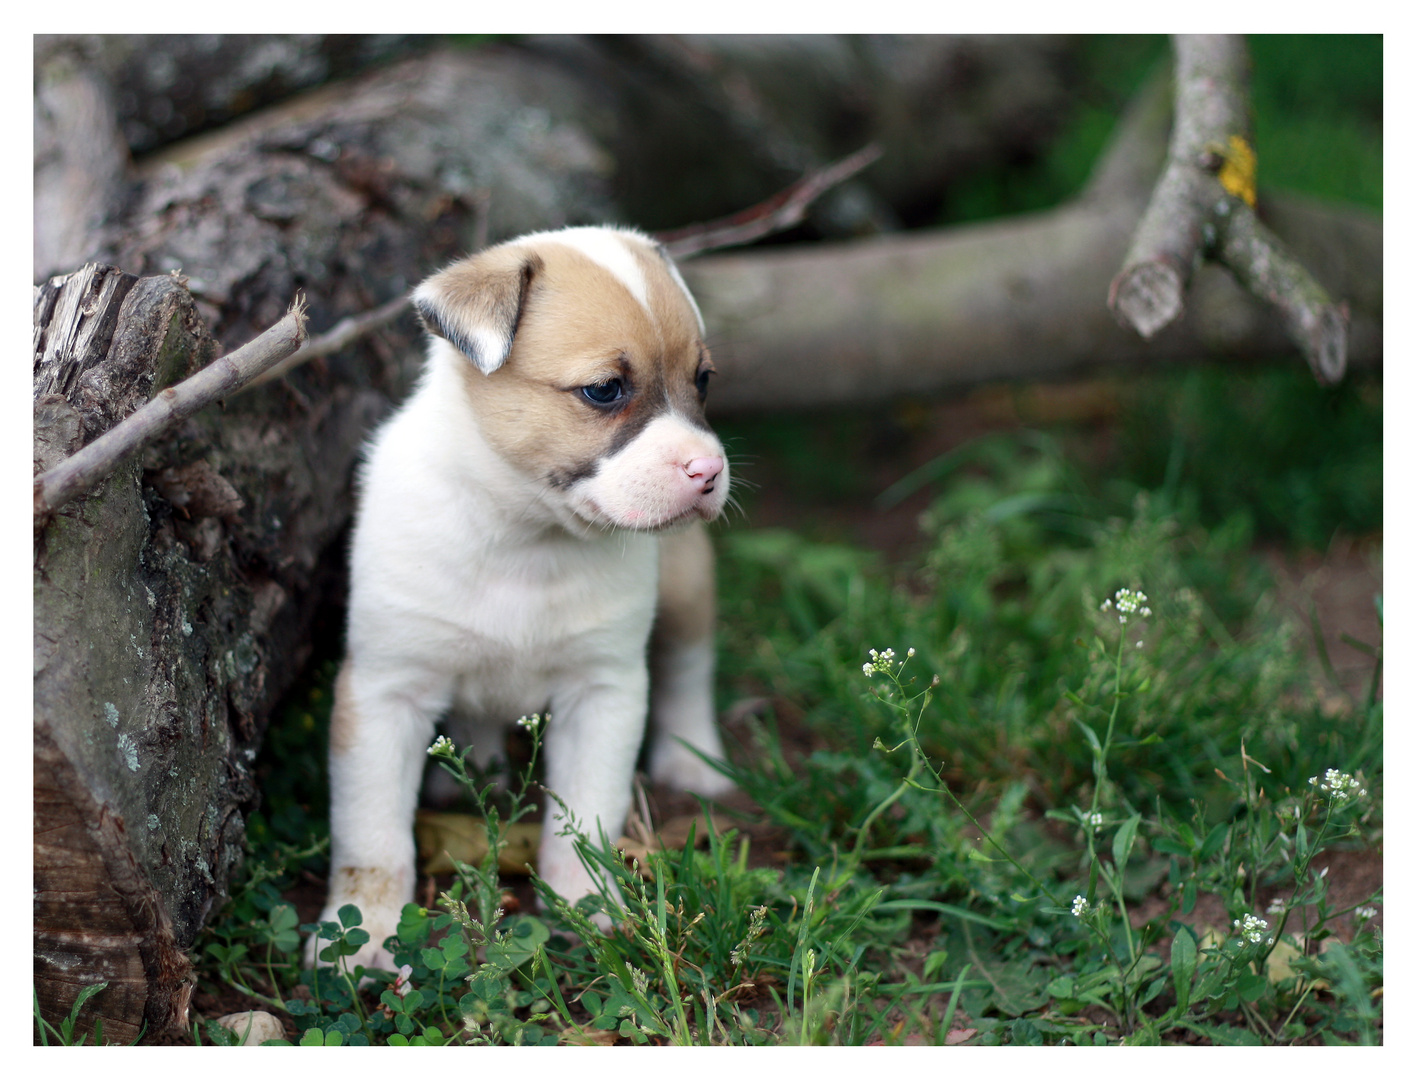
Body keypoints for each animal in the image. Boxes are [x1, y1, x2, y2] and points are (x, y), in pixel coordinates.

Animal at [308, 222, 731, 969]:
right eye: (604, 390)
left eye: (702, 381)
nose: (708, 470)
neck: (526, 533)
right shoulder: (384, 694)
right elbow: (371, 834)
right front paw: (365, 931)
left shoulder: (603, 693)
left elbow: (587, 817)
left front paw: (587, 906)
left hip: (685, 586)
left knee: (688, 665)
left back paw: (689, 755)